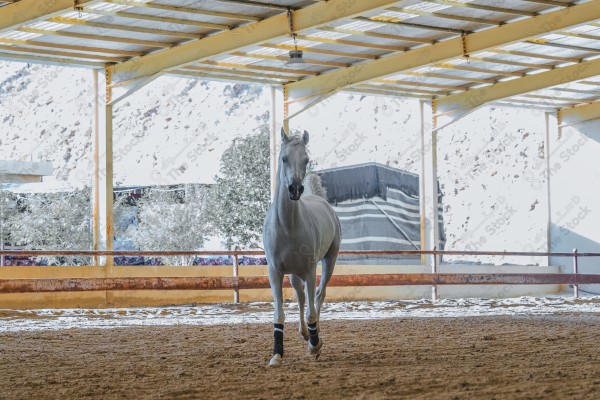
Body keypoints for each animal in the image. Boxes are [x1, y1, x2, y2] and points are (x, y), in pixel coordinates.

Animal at [264, 130, 342, 368]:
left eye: (306, 160)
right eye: (284, 158)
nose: (295, 189)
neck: (287, 226)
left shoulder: (309, 270)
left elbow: (311, 312)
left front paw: (315, 346)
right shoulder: (275, 272)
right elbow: (279, 314)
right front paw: (276, 355)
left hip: (329, 261)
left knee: (318, 296)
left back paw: (313, 338)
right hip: (293, 274)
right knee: (300, 297)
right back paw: (304, 333)